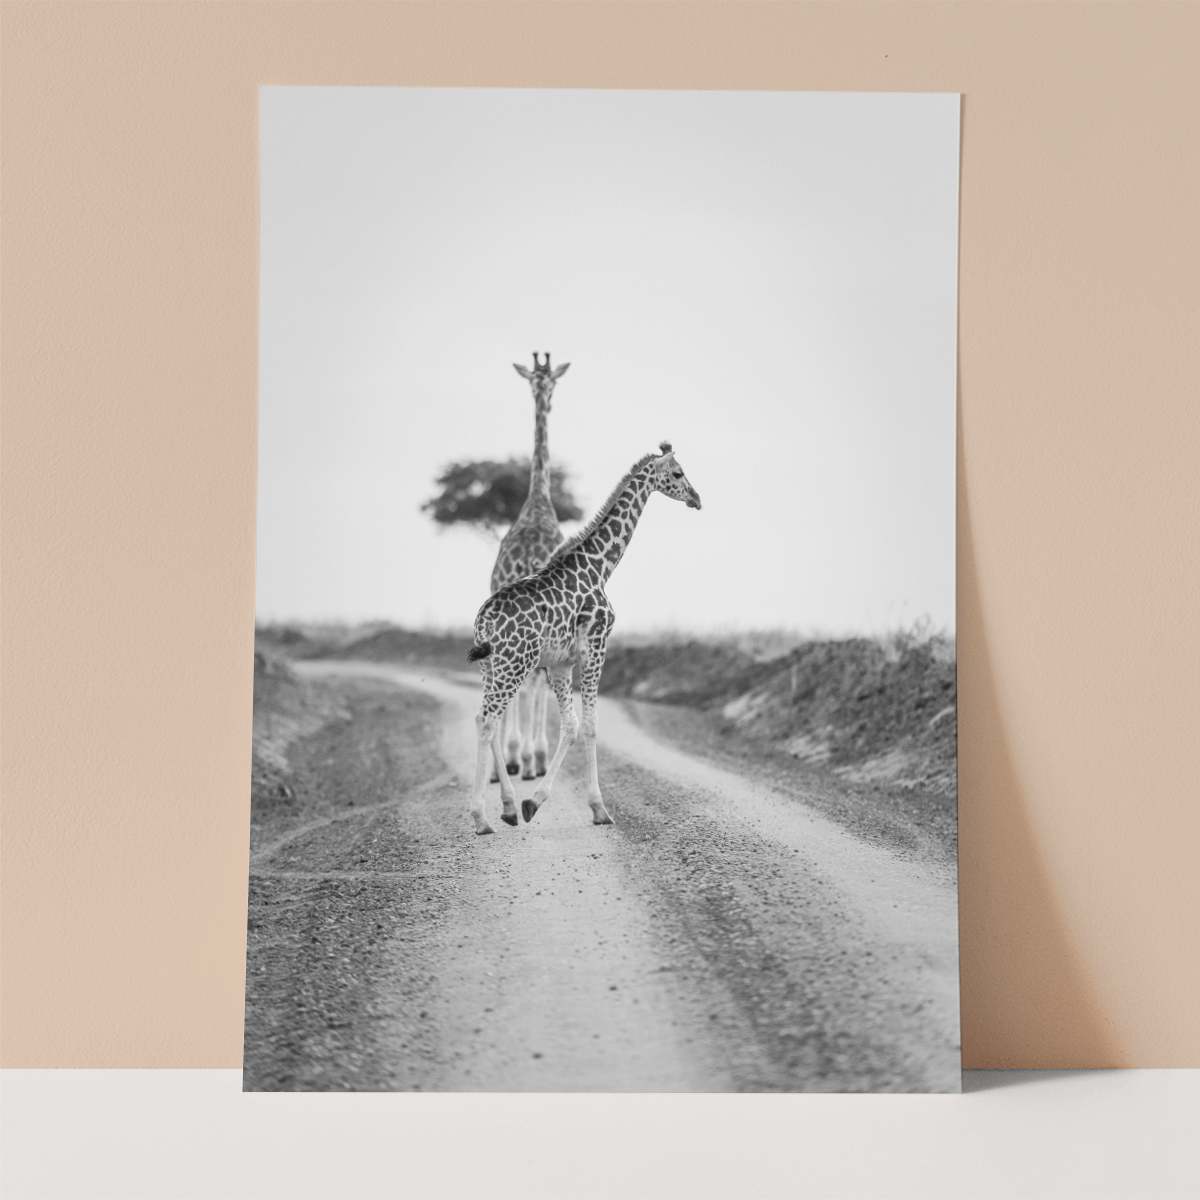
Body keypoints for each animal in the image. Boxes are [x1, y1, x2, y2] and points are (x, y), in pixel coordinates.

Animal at [466, 441, 702, 835]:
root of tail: (484, 622)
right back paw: (482, 818)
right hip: (515, 664)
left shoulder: (561, 663)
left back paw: (508, 807)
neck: (600, 566)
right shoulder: (595, 647)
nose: (697, 499)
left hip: (491, 668)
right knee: (486, 721)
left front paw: (532, 803)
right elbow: (590, 726)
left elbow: (571, 725)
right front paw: (599, 809)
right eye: (679, 473)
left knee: (485, 719)